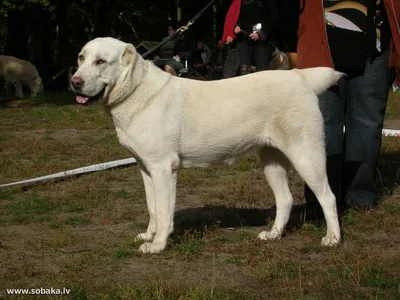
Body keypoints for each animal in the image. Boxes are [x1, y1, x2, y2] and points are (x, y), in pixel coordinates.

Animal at [70, 37, 342, 253]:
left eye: (101, 62)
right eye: (81, 58)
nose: (75, 82)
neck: (135, 90)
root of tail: (299, 76)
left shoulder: (163, 168)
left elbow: (165, 211)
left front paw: (157, 245)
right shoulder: (146, 168)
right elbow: (152, 206)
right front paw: (149, 234)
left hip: (306, 155)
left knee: (328, 197)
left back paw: (333, 239)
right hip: (271, 161)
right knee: (285, 199)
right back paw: (273, 235)